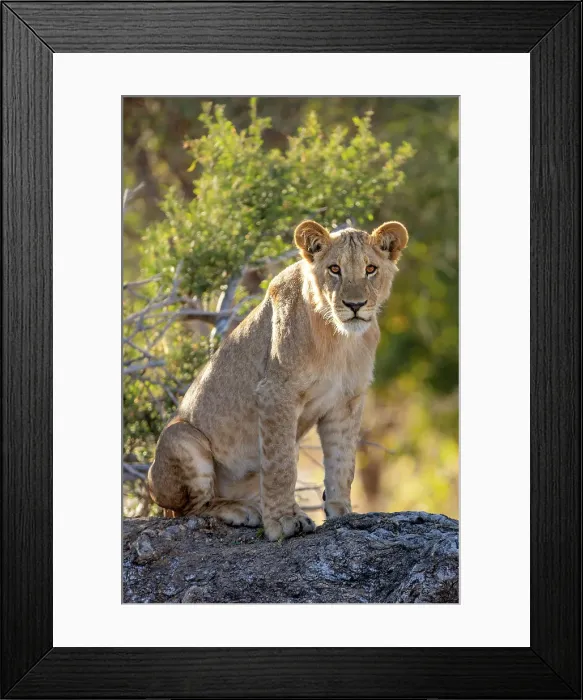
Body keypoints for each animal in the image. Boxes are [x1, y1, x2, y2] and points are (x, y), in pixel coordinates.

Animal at [147, 218, 408, 541]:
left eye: (370, 268)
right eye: (334, 269)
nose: (355, 304)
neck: (340, 339)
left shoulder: (347, 401)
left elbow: (343, 462)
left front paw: (341, 512)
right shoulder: (276, 393)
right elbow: (281, 466)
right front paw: (283, 522)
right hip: (180, 436)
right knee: (188, 509)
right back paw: (244, 510)